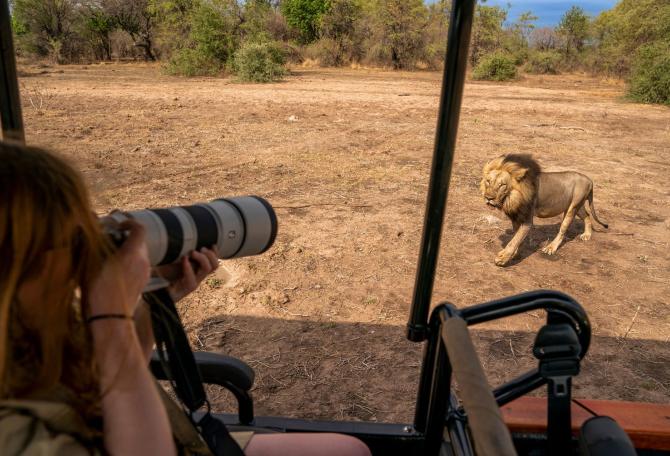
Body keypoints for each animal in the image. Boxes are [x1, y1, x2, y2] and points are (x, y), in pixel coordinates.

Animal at [480, 154, 608, 266]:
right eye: (488, 181)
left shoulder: (527, 220)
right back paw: (587, 235)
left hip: (572, 208)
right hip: (577, 206)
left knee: (563, 229)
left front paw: (502, 258)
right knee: (587, 215)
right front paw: (514, 253)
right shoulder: (516, 217)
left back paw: (551, 248)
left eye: (502, 185)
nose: (488, 198)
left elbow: (514, 240)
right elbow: (516, 237)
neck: (511, 198)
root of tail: (589, 180)